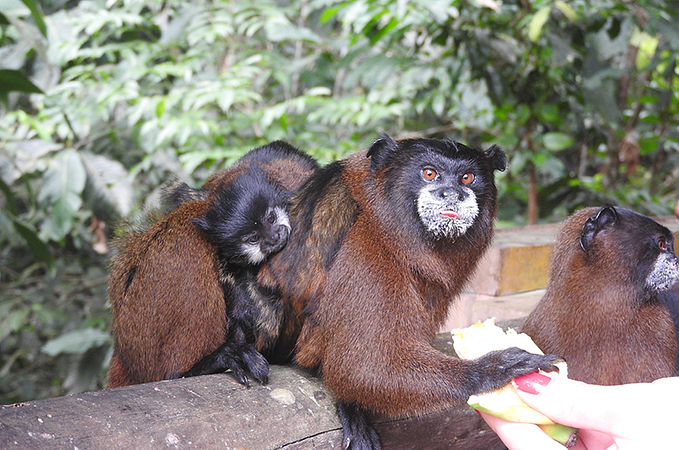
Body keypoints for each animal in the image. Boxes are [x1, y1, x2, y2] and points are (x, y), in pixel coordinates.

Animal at [107, 142, 318, 388]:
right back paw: (194, 367)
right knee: (187, 232)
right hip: (139, 335)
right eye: (253, 238)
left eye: (271, 218)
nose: (274, 237)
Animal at [256, 135, 564, 448]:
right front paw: (493, 370)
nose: (452, 194)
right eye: (429, 173)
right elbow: (366, 369)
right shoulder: (366, 247)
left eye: (467, 178)